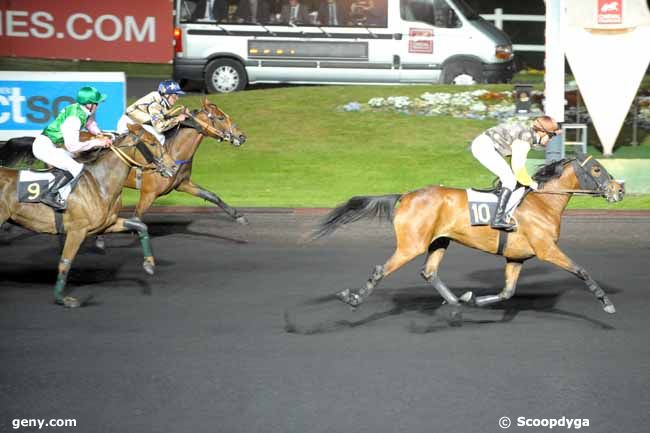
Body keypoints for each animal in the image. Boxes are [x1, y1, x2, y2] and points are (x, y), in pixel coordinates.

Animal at [0, 123, 177, 308]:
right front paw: (62, 299)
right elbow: (65, 262)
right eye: (152, 143)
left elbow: (140, 226)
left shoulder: (106, 224)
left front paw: (149, 264)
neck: (100, 183)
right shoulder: (77, 231)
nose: (173, 166)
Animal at [312, 154, 624, 318]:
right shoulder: (547, 249)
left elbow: (507, 291)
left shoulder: (516, 257)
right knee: (381, 269)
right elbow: (581, 270)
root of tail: (406, 195)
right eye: (597, 169)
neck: (542, 203)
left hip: (439, 241)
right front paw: (606, 303)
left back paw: (457, 301)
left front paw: (474, 299)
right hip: (411, 244)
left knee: (429, 272)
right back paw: (353, 298)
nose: (619, 189)